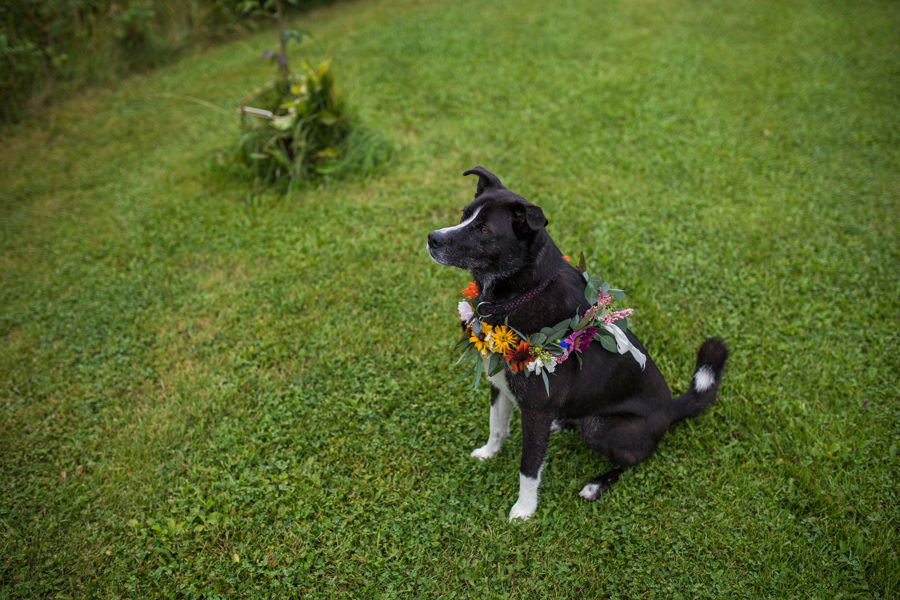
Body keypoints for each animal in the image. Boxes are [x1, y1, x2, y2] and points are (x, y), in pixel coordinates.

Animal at [426, 165, 728, 520]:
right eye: (464, 215)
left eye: (484, 229)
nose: (432, 238)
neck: (522, 292)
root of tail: (670, 410)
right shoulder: (499, 384)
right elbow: (496, 425)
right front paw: (489, 453)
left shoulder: (536, 410)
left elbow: (529, 467)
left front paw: (524, 510)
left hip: (604, 429)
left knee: (633, 460)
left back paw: (596, 484)